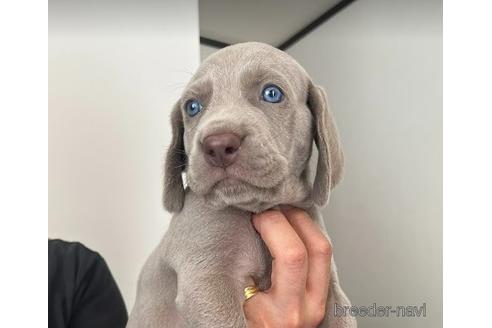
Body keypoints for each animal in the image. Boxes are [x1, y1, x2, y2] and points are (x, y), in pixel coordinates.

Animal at [129, 42, 356, 326]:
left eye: (272, 93)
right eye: (192, 107)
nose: (217, 145)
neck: (256, 207)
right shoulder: (206, 278)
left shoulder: (331, 286)